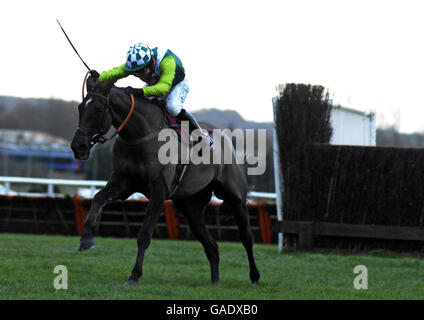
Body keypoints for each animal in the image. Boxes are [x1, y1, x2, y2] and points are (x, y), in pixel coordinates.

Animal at [71, 77, 260, 284]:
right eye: (80, 107)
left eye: (98, 109)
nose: (78, 147)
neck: (140, 134)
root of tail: (224, 137)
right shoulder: (123, 183)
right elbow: (98, 198)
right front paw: (86, 238)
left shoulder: (159, 192)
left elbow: (144, 235)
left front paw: (134, 275)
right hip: (190, 206)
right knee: (212, 246)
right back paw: (215, 282)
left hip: (235, 196)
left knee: (246, 237)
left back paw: (255, 276)